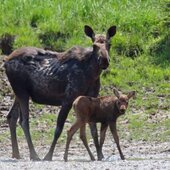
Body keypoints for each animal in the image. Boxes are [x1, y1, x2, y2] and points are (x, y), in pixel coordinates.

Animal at [3, 24, 116, 160]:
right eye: (94, 45)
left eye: (109, 44)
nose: (104, 60)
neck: (92, 74)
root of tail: (5, 61)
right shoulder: (68, 99)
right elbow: (58, 129)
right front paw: (48, 156)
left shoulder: (92, 97)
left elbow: (93, 129)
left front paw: (99, 155)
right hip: (22, 92)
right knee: (24, 121)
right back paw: (34, 154)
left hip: (19, 94)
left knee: (11, 116)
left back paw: (16, 154)